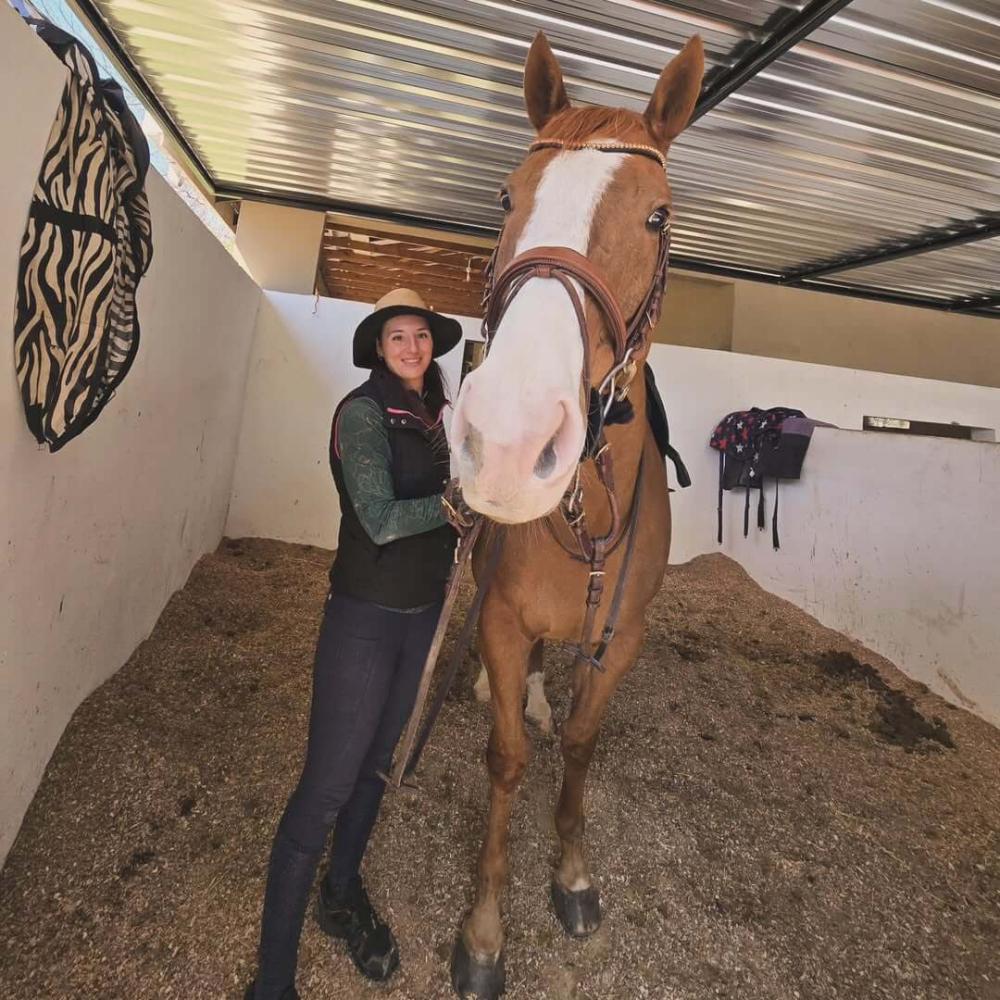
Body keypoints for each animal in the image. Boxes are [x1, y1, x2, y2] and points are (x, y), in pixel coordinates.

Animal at [446, 29, 705, 999]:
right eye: (506, 197)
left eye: (658, 217)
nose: (509, 439)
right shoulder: (503, 616)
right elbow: (507, 760)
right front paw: (485, 932)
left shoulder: (621, 634)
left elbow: (585, 746)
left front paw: (573, 875)